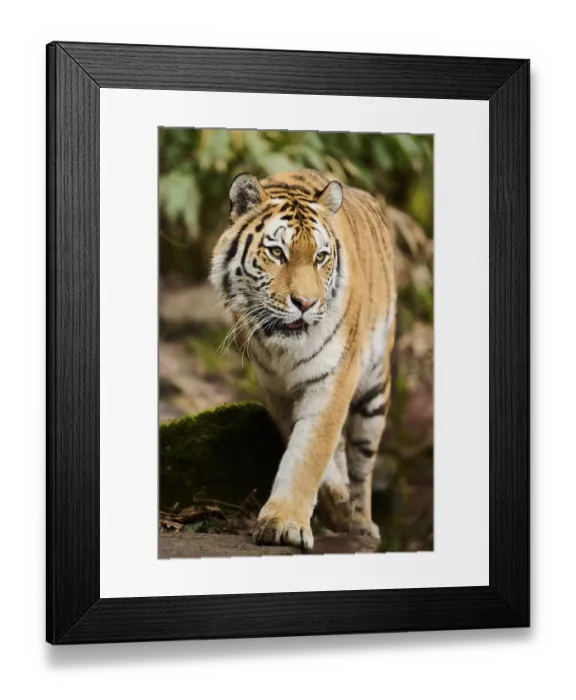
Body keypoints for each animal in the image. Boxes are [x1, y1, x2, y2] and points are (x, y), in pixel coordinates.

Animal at [210, 169, 396, 551]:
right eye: (276, 253)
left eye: (321, 257)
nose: (306, 303)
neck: (282, 348)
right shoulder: (274, 388)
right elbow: (308, 448)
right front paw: (330, 505)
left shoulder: (335, 376)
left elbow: (309, 451)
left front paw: (284, 523)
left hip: (374, 392)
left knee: (363, 465)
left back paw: (363, 524)